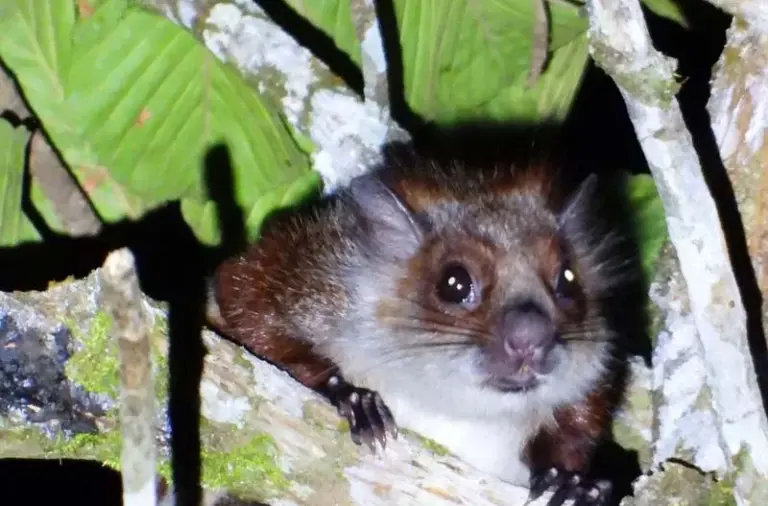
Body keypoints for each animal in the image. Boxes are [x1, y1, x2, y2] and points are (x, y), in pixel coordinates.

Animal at [211, 143, 632, 506]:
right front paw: (351, 396)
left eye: (567, 280)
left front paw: (575, 481)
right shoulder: (300, 273)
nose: (532, 338)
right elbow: (243, 302)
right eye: (454, 283)